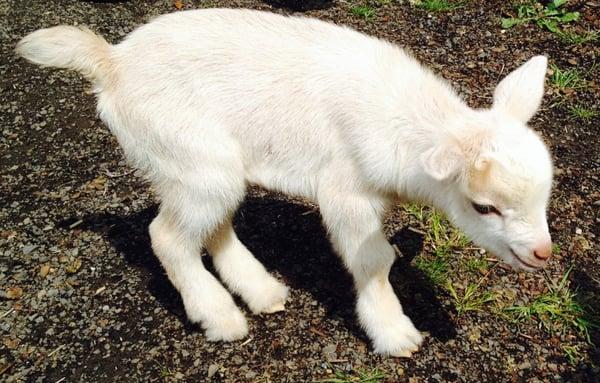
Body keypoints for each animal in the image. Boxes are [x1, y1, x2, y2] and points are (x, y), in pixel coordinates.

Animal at [17, 8, 552, 356]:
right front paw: (395, 335)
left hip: (204, 167)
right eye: (484, 207)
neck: (407, 126)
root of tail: (111, 62)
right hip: (187, 152)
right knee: (166, 236)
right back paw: (221, 317)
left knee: (212, 224)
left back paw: (262, 293)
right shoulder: (345, 192)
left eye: (544, 196)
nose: (542, 253)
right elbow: (374, 260)